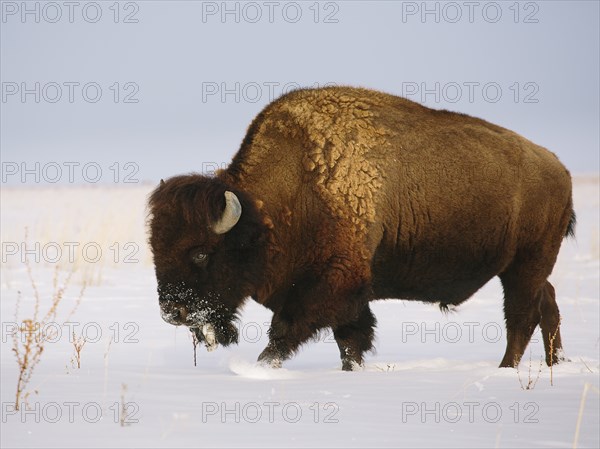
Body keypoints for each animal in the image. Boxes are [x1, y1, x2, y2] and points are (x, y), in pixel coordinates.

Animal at [148, 86, 576, 370]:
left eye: (201, 252)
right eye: (156, 249)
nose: (173, 313)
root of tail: (558, 167)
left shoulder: (330, 283)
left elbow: (286, 333)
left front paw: (261, 367)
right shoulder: (349, 294)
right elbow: (350, 339)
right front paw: (351, 371)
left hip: (526, 264)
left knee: (522, 315)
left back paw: (507, 369)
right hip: (526, 268)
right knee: (548, 303)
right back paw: (555, 363)